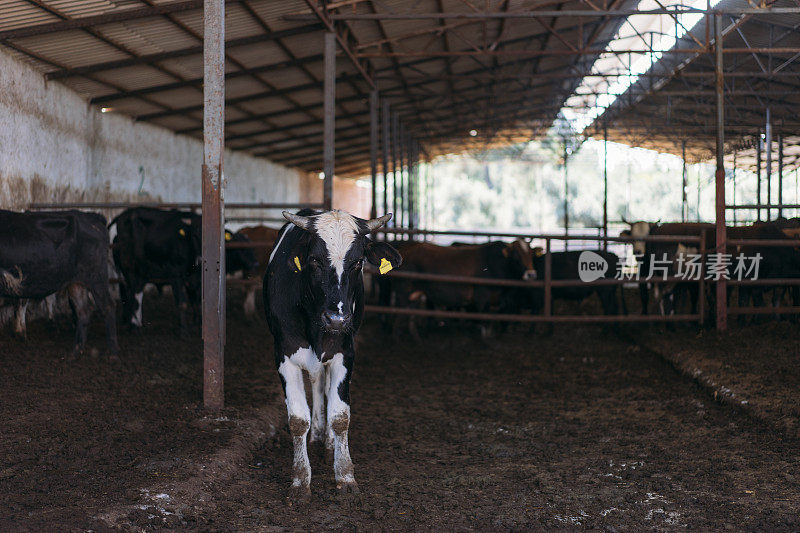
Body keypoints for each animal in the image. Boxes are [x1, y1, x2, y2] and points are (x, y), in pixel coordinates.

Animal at [0, 210, 117, 356]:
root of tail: (93, 217)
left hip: (97, 277)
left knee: (108, 307)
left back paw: (113, 353)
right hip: (76, 283)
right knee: (83, 311)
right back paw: (74, 354)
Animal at [262, 209, 400, 498]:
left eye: (358, 262)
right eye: (314, 260)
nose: (336, 318)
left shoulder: (345, 354)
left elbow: (340, 416)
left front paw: (345, 475)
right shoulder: (284, 355)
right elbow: (297, 419)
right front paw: (300, 479)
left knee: (322, 385)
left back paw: (326, 441)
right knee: (315, 382)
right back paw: (316, 434)